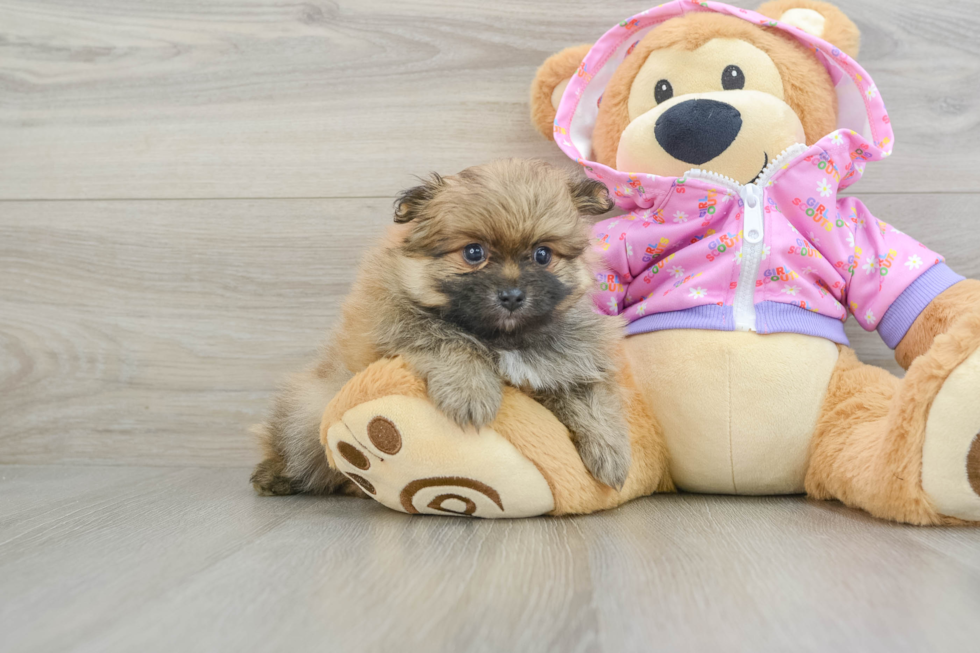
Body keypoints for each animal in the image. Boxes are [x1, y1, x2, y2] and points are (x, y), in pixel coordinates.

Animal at [253, 158, 632, 494]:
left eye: (543, 255)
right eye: (474, 252)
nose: (512, 295)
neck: (502, 338)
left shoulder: (571, 362)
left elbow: (590, 400)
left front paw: (611, 453)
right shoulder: (396, 322)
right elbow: (451, 340)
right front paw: (471, 393)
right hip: (308, 412)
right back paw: (276, 477)